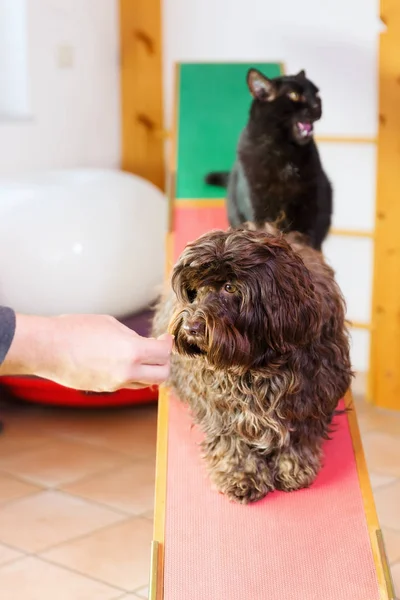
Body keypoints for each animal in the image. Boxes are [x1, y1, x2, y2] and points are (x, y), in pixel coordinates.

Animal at [152, 224, 352, 502]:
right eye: (195, 291)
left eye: (229, 287)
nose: (191, 327)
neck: (257, 364)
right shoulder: (221, 404)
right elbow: (232, 441)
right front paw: (241, 475)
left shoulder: (311, 394)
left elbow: (299, 434)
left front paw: (293, 466)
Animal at [205, 68, 332, 251]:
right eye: (294, 95)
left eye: (316, 94)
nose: (317, 105)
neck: (284, 150)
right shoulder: (257, 206)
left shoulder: (310, 203)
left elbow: (307, 239)